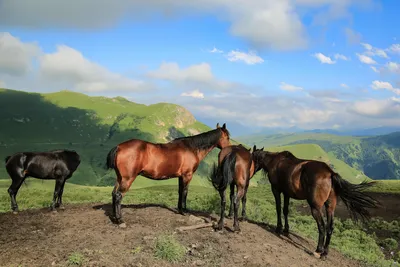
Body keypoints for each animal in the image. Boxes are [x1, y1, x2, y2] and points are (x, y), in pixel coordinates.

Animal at [252, 151, 380, 260]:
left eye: (252, 157)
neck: (275, 162)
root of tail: (330, 173)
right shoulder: (287, 193)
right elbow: (285, 210)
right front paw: (286, 230)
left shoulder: (276, 190)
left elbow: (278, 208)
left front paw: (279, 228)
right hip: (330, 207)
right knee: (330, 227)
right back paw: (325, 253)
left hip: (316, 208)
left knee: (322, 226)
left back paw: (318, 250)